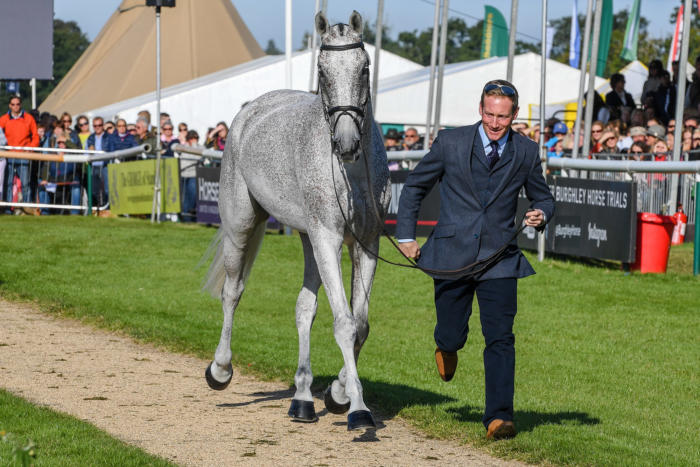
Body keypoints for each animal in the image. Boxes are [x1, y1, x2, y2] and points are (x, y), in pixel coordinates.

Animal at [202, 11, 392, 434]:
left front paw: (337, 394)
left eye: (365, 68)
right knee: (232, 292)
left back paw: (302, 398)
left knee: (305, 308)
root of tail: (249, 111)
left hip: (307, 239)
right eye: (322, 72)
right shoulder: (328, 238)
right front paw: (358, 409)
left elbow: (361, 323)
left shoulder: (366, 243)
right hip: (242, 225)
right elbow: (344, 323)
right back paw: (220, 370)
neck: (351, 173)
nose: (347, 143)